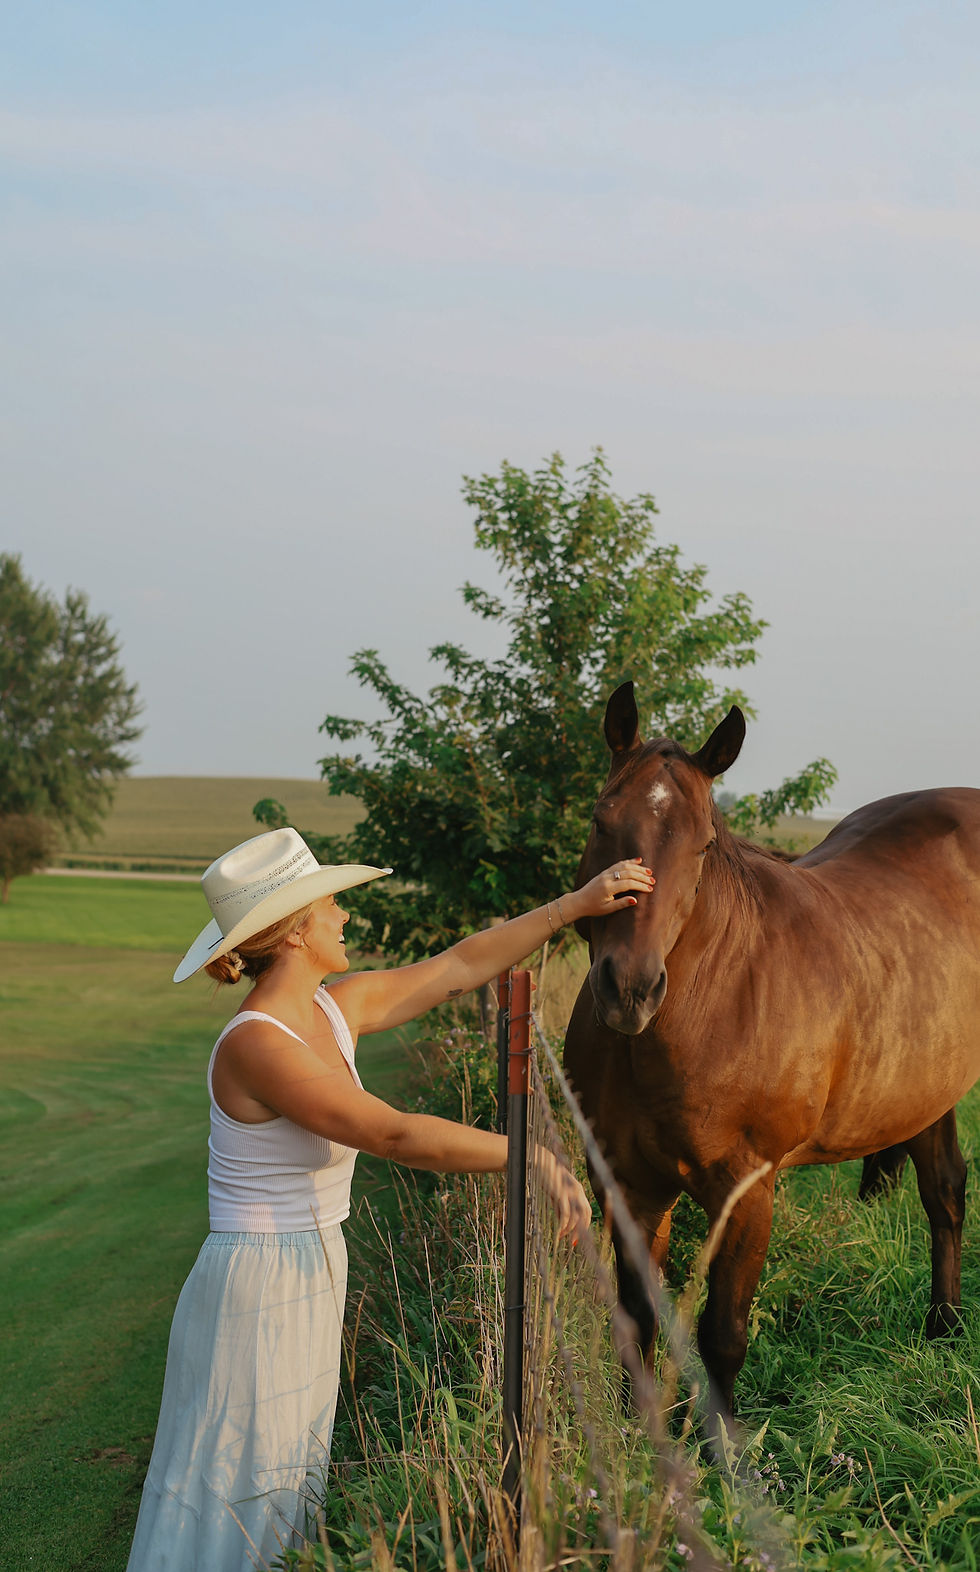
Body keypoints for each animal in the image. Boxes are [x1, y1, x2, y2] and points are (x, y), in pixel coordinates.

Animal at [564, 681, 980, 1420]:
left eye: (703, 844)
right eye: (600, 819)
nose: (630, 989)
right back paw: (943, 1327)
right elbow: (639, 1320)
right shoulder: (629, 1183)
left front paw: (721, 1444)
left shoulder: (748, 1189)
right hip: (928, 1083)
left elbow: (723, 1335)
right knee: (944, 1191)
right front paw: (641, 1435)